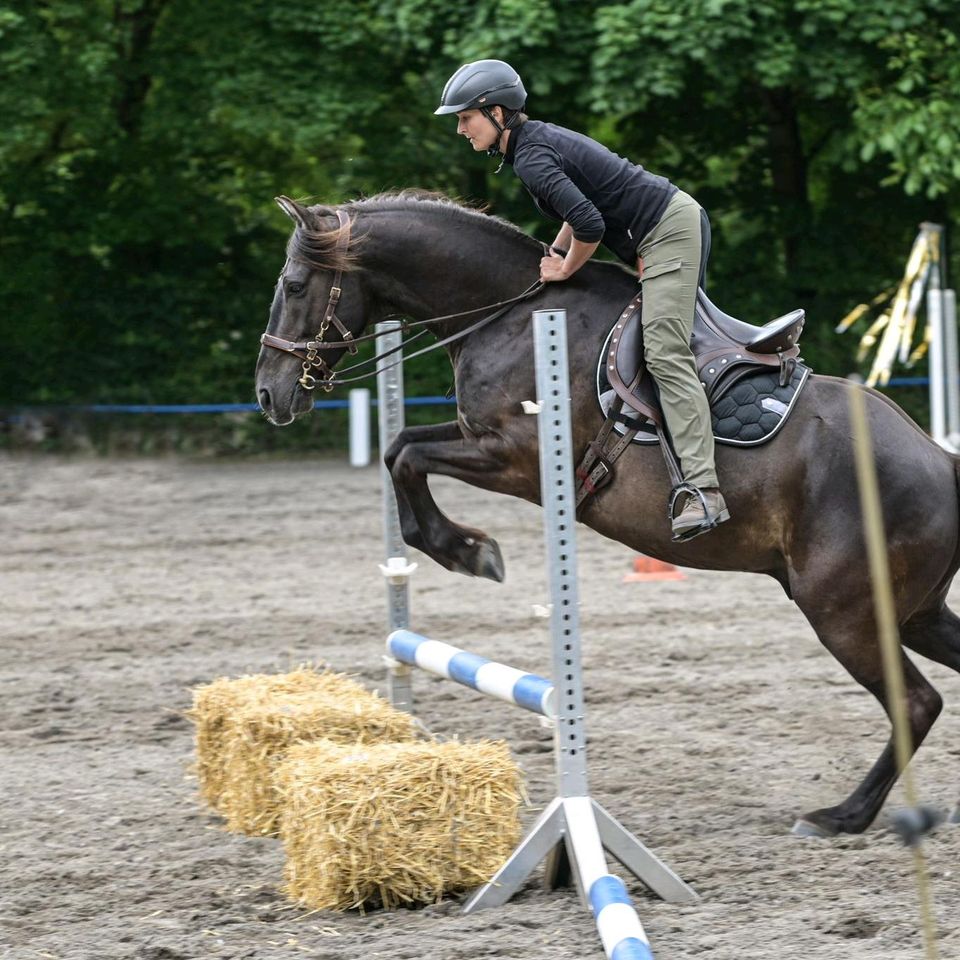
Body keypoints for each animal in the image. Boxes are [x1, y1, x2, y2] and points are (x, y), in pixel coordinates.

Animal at [255, 193, 960, 840]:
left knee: (915, 702)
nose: (268, 394)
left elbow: (407, 458)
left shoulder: (516, 458)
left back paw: (843, 815)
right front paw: (463, 548)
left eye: (293, 286)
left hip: (842, 611)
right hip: (912, 612)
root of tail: (940, 460)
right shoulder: (478, 438)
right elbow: (398, 448)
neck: (507, 313)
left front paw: (469, 550)